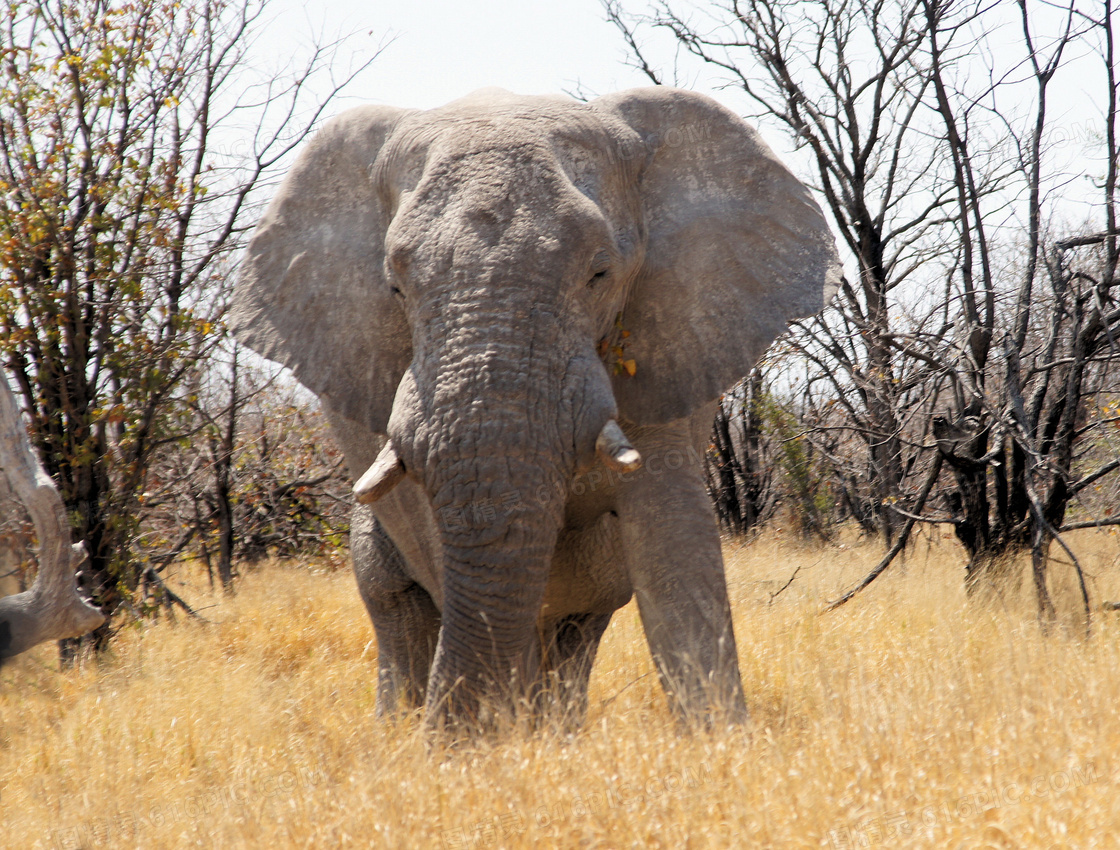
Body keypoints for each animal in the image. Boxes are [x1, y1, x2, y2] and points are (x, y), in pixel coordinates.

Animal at [229, 89, 842, 734]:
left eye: (600, 273)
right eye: (395, 287)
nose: (447, 744)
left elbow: (675, 552)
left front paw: (718, 741)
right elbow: (452, 553)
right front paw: (500, 741)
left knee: (576, 627)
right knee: (400, 606)